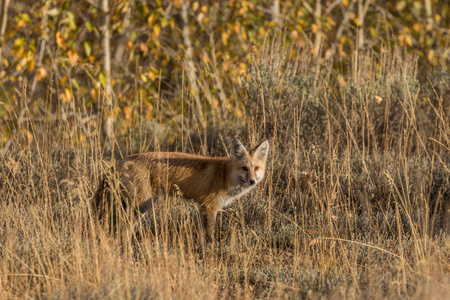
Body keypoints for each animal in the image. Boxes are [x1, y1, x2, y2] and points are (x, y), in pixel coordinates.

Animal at [93, 139, 268, 240]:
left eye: (256, 168)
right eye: (244, 168)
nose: (252, 181)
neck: (225, 175)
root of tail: (123, 160)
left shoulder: (203, 208)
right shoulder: (208, 206)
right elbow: (209, 236)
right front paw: (210, 254)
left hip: (139, 206)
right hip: (137, 207)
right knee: (122, 229)